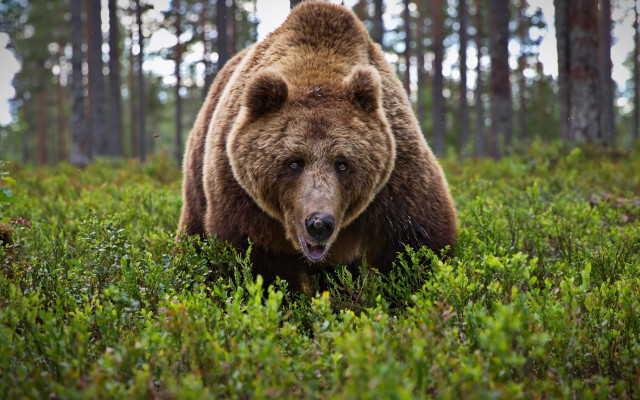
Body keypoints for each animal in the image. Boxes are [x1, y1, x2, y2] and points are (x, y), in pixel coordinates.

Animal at [178, 1, 458, 294]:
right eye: (294, 162)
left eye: (343, 163)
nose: (319, 223)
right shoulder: (239, 194)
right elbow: (256, 265)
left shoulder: (396, 176)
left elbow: (416, 243)